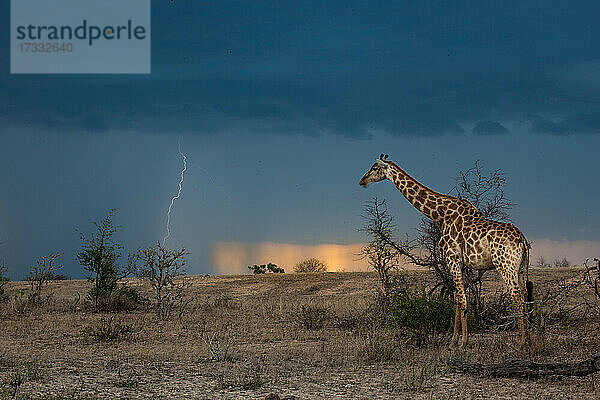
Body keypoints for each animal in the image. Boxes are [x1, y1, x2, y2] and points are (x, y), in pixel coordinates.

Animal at [358, 153, 532, 346]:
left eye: (374, 168)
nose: (362, 180)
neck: (440, 216)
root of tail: (522, 240)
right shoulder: (461, 263)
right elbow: (456, 298)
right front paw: (454, 340)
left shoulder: (452, 258)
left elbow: (461, 298)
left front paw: (462, 342)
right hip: (521, 267)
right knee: (525, 295)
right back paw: (528, 339)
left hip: (505, 265)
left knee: (516, 296)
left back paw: (522, 341)